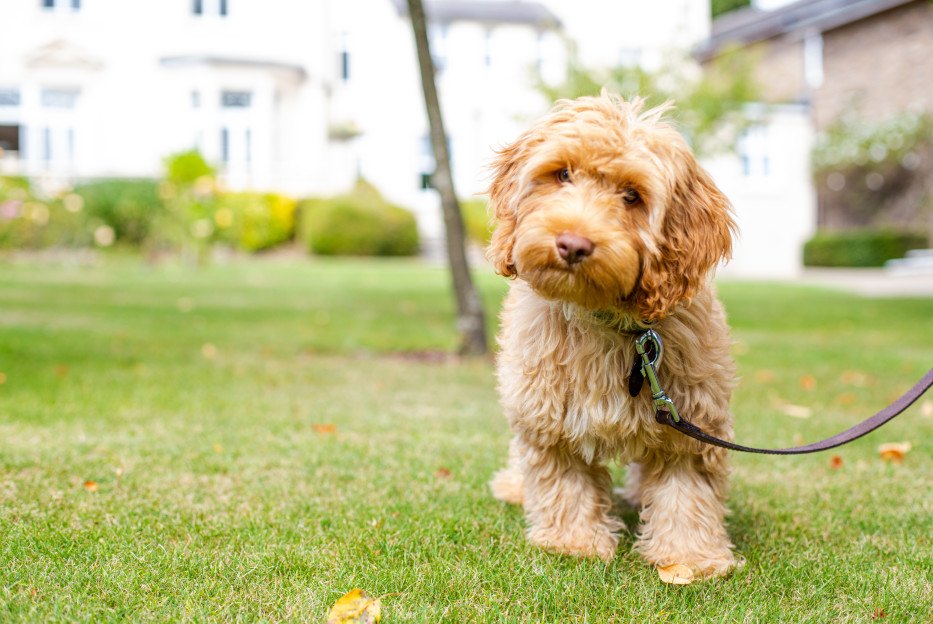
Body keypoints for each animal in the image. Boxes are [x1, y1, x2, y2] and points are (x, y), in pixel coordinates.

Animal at [484, 90, 740, 576]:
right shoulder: (549, 412)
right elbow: (565, 479)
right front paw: (573, 543)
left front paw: (688, 560)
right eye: (563, 174)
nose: (572, 244)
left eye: (632, 196)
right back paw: (514, 485)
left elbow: (685, 488)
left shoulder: (691, 416)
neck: (603, 318)